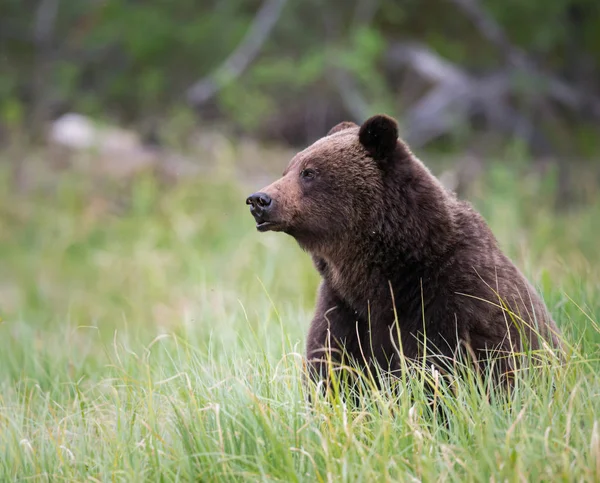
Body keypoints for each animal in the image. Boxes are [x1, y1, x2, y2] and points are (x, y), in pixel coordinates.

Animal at [245, 114, 564, 394]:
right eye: (288, 169)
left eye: (309, 172)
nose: (259, 200)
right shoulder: (344, 309)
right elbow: (333, 369)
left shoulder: (457, 301)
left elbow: (461, 371)